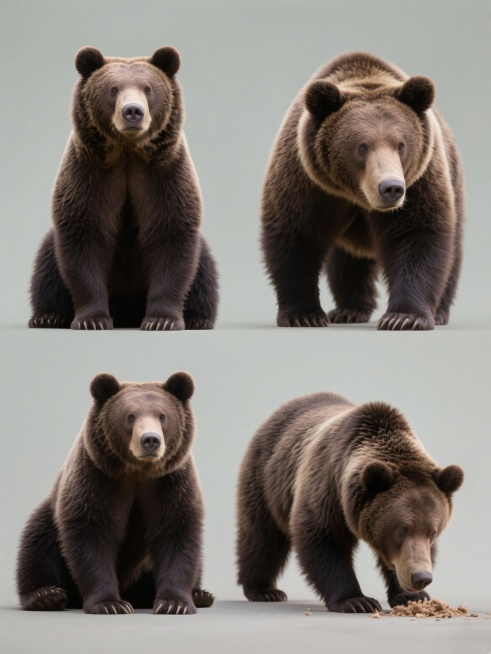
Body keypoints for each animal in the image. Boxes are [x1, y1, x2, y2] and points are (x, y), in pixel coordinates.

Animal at [17, 371, 214, 614]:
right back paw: (46, 596)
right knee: (37, 544)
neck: (138, 471)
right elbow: (91, 535)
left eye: (162, 415)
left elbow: (176, 532)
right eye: (130, 416)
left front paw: (174, 603)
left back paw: (201, 594)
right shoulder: (96, 478)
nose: (150, 440)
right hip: (49, 518)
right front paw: (110, 604)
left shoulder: (171, 482)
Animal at [29, 46, 219, 330]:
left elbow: (171, 238)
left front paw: (161, 320)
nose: (133, 111)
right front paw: (92, 320)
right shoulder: (89, 177)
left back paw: (199, 319)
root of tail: (127, 314)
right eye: (113, 88)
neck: (127, 153)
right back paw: (48, 316)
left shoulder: (165, 176)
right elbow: (84, 240)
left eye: (148, 88)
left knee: (204, 267)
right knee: (47, 264)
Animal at [236, 392, 463, 612]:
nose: (421, 578)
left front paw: (411, 596)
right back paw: (264, 590)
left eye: (433, 531)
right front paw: (357, 601)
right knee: (262, 538)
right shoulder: (327, 488)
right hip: (266, 479)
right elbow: (323, 540)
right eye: (402, 529)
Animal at [260, 52, 465, 330]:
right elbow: (295, 235)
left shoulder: (420, 182)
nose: (391, 188)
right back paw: (350, 309)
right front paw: (304, 315)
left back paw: (440, 312)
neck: (357, 195)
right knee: (347, 262)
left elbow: (418, 236)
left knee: (452, 253)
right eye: (362, 146)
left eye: (401, 144)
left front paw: (404, 317)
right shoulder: (307, 182)